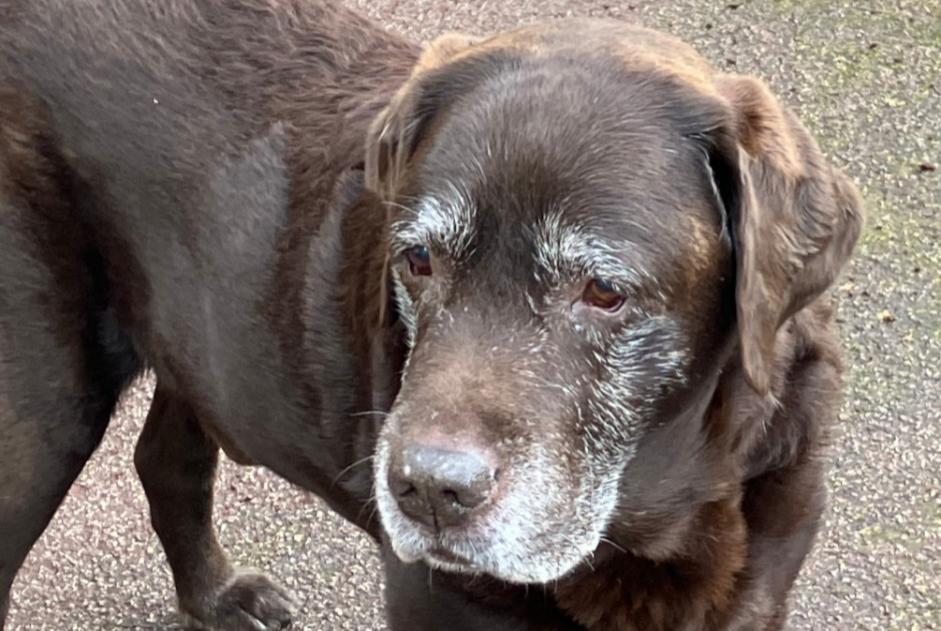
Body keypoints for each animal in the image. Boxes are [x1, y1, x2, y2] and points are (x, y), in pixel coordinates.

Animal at [0, 1, 864, 631]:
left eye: (603, 291)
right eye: (417, 260)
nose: (429, 490)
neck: (659, 512)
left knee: (166, 459)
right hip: (45, 418)